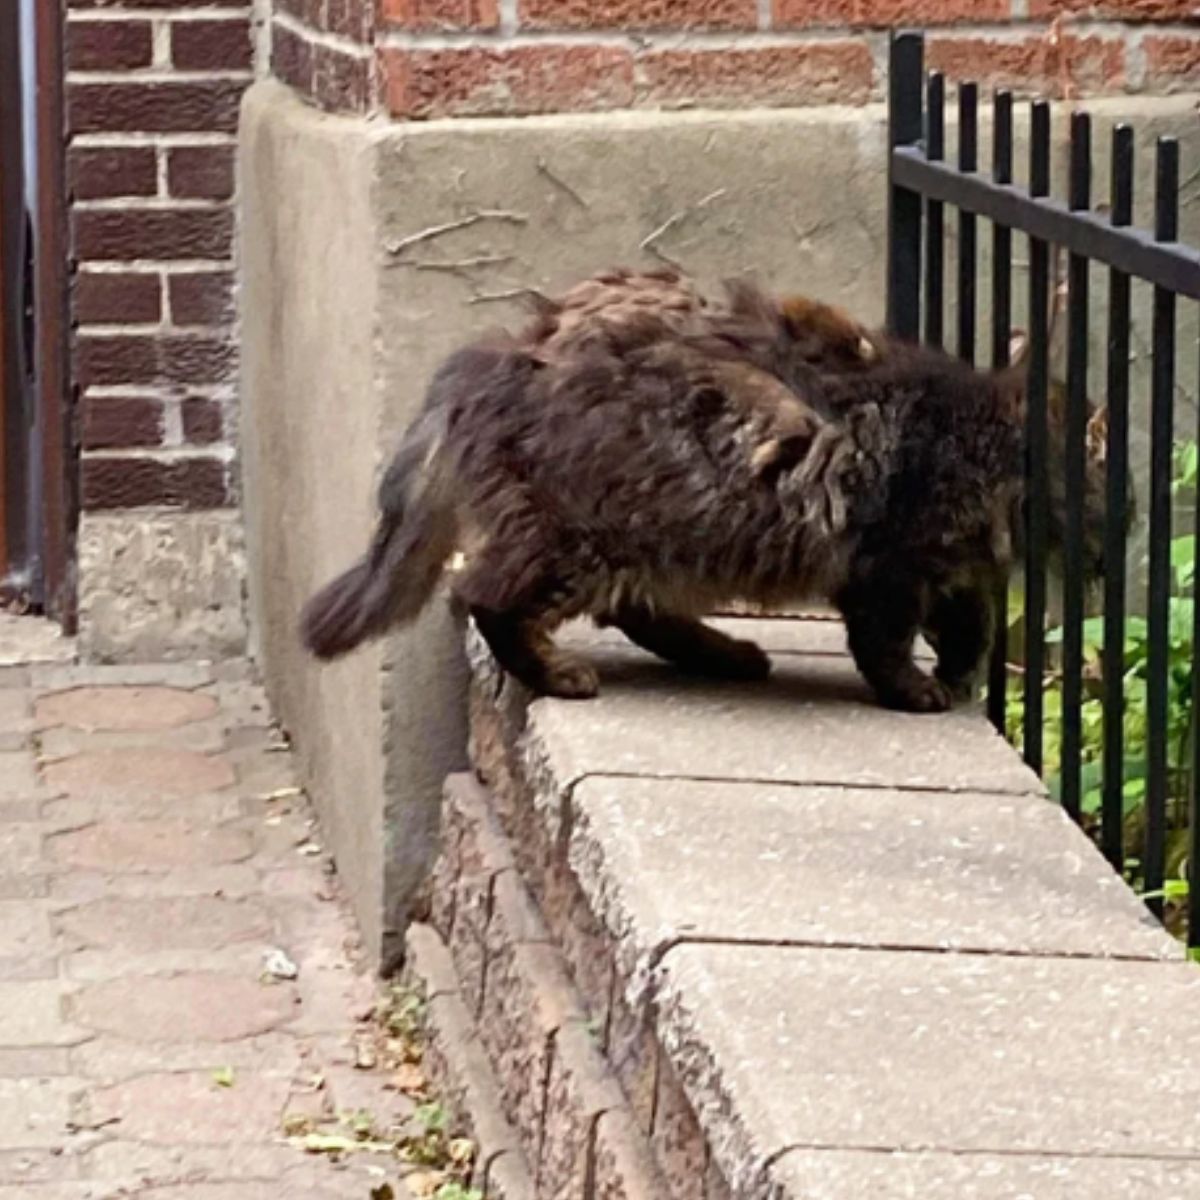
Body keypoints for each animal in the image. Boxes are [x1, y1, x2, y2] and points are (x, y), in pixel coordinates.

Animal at [302, 274, 1113, 705]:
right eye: (1114, 480)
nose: (1131, 521)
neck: (983, 438)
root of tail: (494, 361)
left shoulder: (944, 566)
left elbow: (971, 620)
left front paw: (958, 670)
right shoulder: (891, 562)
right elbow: (885, 642)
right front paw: (916, 688)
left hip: (659, 538)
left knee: (634, 611)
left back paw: (724, 652)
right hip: (584, 534)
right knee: (485, 596)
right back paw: (560, 673)